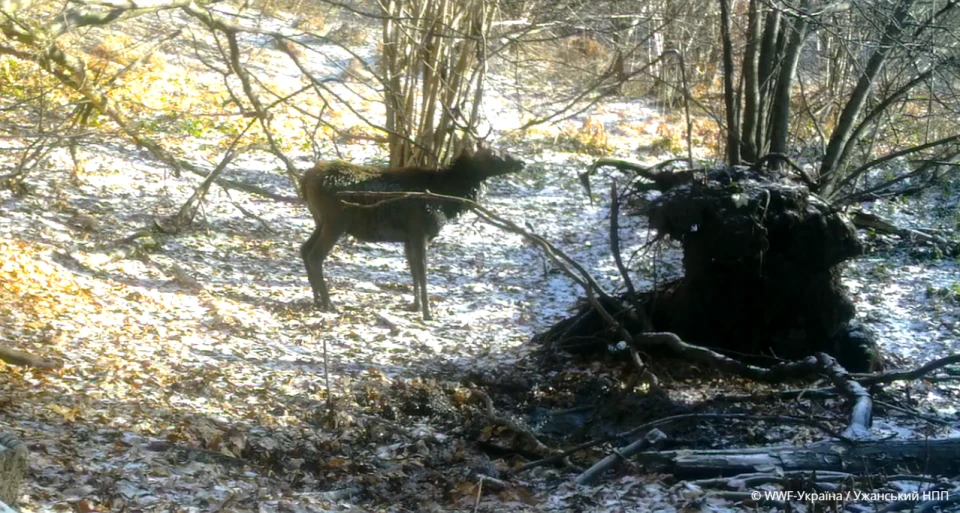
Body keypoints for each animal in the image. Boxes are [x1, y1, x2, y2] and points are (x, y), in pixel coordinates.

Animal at [299, 145, 524, 320]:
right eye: (494, 154)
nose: (521, 162)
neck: (445, 199)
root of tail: (305, 179)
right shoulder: (419, 231)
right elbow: (423, 272)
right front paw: (428, 313)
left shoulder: (408, 237)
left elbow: (413, 270)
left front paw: (415, 306)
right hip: (335, 222)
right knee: (315, 256)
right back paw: (328, 303)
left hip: (320, 220)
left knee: (304, 249)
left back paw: (317, 299)